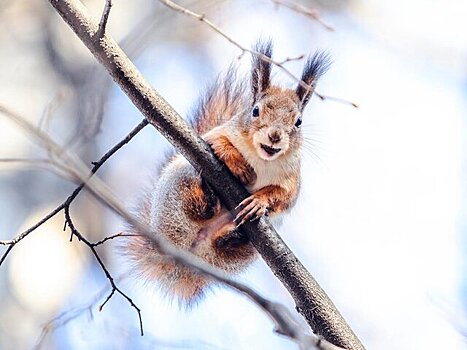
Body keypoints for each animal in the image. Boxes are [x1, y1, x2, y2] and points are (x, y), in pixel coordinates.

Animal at [124, 40, 330, 304]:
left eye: (298, 122)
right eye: (255, 111)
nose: (275, 135)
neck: (263, 159)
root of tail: (184, 256)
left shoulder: (292, 180)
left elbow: (283, 197)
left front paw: (259, 201)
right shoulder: (216, 134)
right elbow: (219, 143)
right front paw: (241, 168)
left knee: (226, 244)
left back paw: (234, 235)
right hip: (179, 184)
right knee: (194, 203)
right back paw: (208, 198)